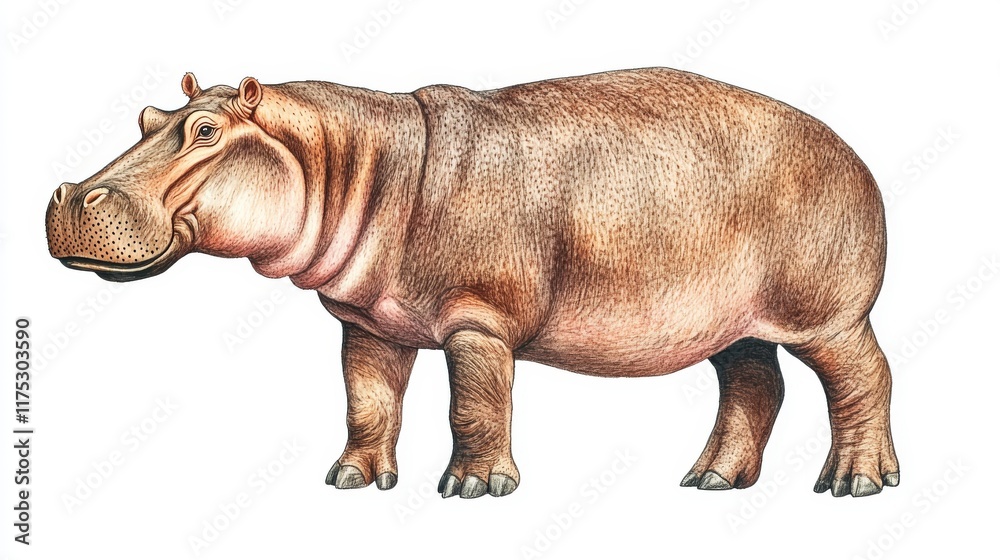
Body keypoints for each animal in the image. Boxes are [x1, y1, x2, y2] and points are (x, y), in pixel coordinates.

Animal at [46, 68, 898, 499]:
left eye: (205, 130)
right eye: (145, 114)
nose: (67, 195)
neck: (352, 159)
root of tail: (850, 149)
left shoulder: (478, 322)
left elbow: (474, 407)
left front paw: (474, 489)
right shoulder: (369, 323)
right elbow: (367, 402)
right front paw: (351, 480)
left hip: (826, 315)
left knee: (864, 379)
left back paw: (854, 485)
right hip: (732, 322)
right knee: (754, 385)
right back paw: (710, 481)